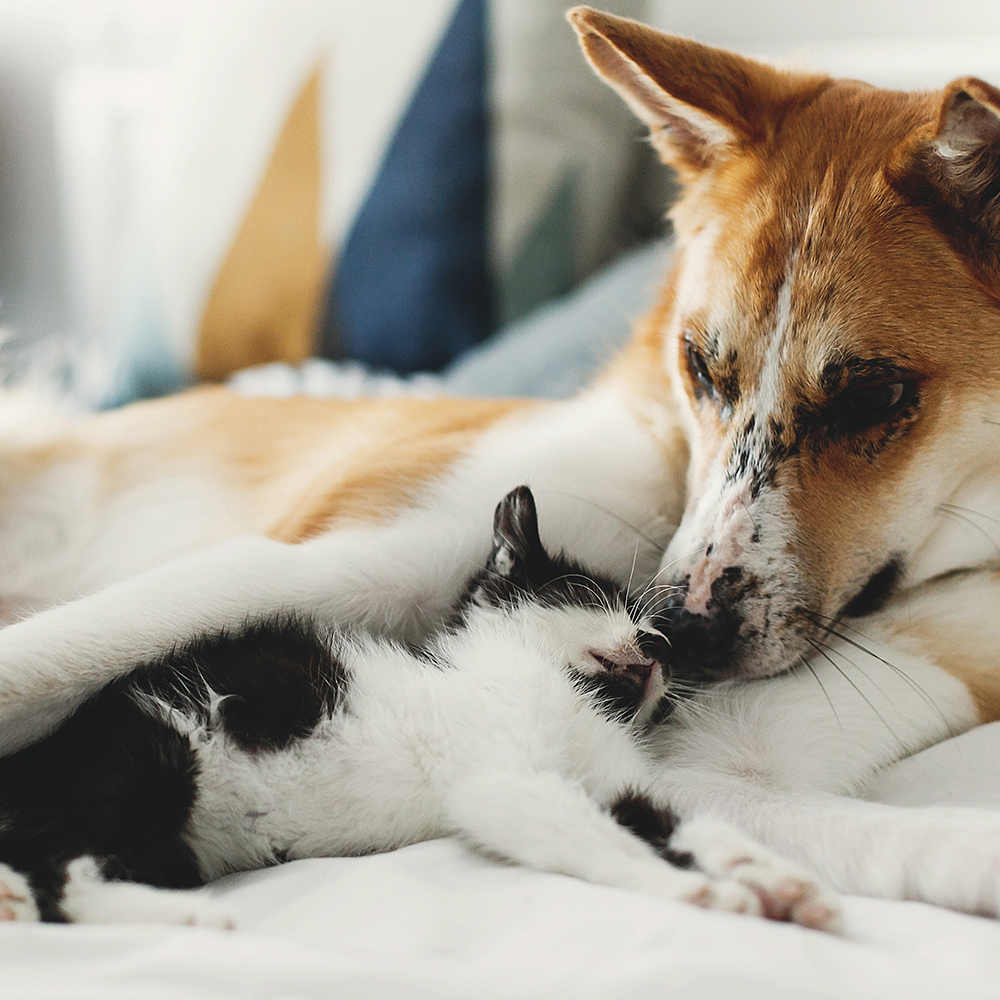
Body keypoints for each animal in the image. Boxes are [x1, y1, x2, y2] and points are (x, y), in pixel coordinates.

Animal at [0, 488, 840, 932]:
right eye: (589, 595)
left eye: (660, 637)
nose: (662, 644)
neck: (567, 695)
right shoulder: (504, 780)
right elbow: (590, 837)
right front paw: (695, 892)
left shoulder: (610, 780)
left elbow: (674, 819)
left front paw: (770, 877)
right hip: (150, 765)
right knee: (62, 875)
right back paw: (193, 919)